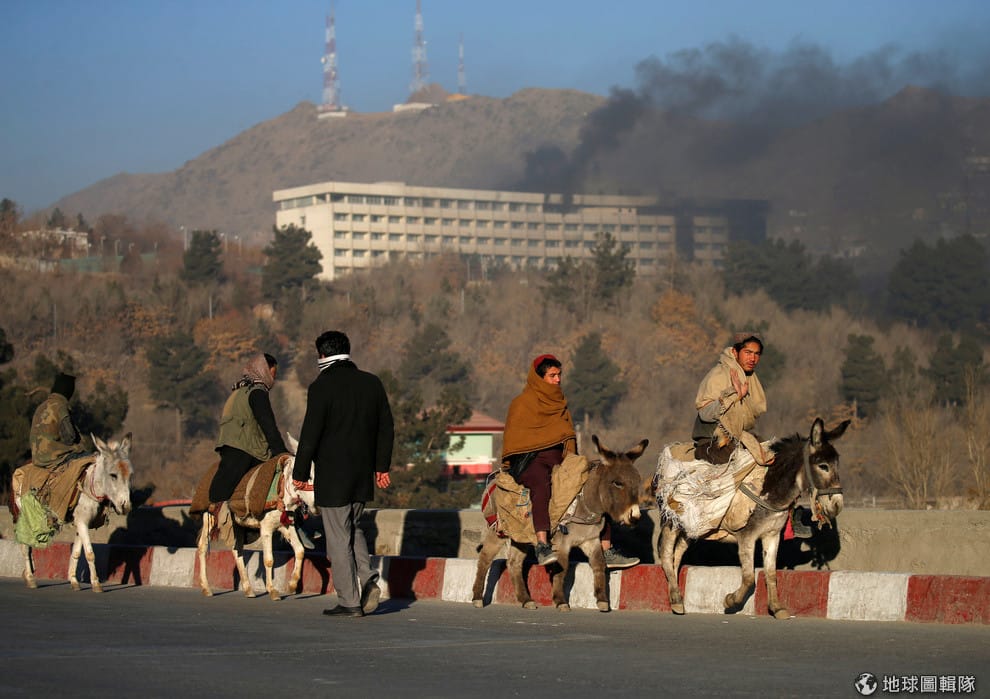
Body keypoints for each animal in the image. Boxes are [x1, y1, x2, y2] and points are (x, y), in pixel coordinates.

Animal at [11, 433, 134, 592]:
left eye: (130, 475)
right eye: (113, 475)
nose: (126, 506)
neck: (89, 486)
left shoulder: (81, 522)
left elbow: (76, 551)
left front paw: (74, 581)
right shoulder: (82, 521)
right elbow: (90, 553)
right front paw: (96, 584)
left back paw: (27, 575)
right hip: (24, 516)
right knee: (25, 547)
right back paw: (31, 579)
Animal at [196, 436, 317, 601]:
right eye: (307, 475)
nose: (315, 505)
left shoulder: (286, 526)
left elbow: (300, 551)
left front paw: (291, 585)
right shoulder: (266, 529)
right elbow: (269, 560)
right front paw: (272, 591)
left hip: (237, 525)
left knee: (237, 550)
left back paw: (248, 589)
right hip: (209, 517)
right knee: (202, 547)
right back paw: (206, 587)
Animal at [472, 435, 648, 612]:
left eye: (637, 481)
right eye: (617, 483)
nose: (635, 516)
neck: (583, 504)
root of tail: (492, 481)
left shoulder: (590, 541)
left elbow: (599, 564)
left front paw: (602, 600)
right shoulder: (561, 544)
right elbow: (561, 570)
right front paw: (561, 601)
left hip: (520, 536)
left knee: (514, 563)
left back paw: (526, 600)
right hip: (498, 532)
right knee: (485, 559)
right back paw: (478, 598)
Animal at [655, 417, 848, 618]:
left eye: (837, 464)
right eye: (823, 466)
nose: (837, 505)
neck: (769, 490)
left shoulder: (772, 535)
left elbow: (771, 573)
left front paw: (776, 608)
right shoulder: (746, 537)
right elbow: (748, 578)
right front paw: (730, 600)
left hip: (691, 528)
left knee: (677, 554)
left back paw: (674, 596)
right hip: (672, 522)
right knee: (666, 554)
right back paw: (677, 601)